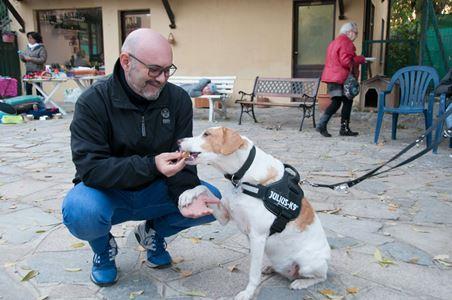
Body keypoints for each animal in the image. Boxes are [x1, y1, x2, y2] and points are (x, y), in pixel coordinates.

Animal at [178, 126, 330, 300]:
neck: (243, 178)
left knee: (321, 277)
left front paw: (248, 293)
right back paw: (272, 268)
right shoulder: (224, 216)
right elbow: (203, 187)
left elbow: (253, 274)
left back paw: (300, 283)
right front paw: (187, 194)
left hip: (308, 264)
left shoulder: (257, 237)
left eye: (207, 134)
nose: (178, 141)